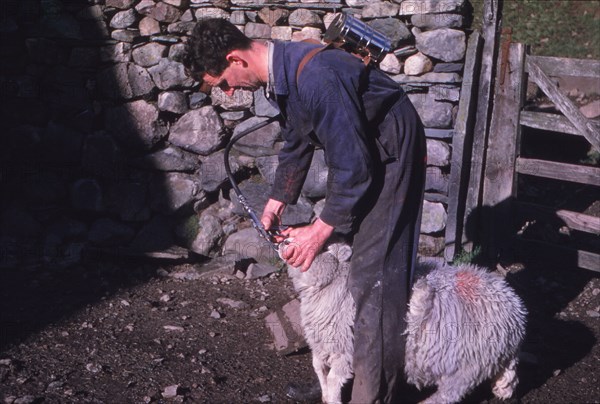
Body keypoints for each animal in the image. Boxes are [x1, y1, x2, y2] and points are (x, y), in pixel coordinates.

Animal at [284, 243, 528, 404]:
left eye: (320, 248)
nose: (283, 241)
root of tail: (516, 315)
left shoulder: (345, 350)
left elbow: (334, 378)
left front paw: (332, 399)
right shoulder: (322, 344)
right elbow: (319, 368)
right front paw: (323, 394)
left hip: (466, 367)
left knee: (448, 395)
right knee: (507, 377)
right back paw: (503, 389)